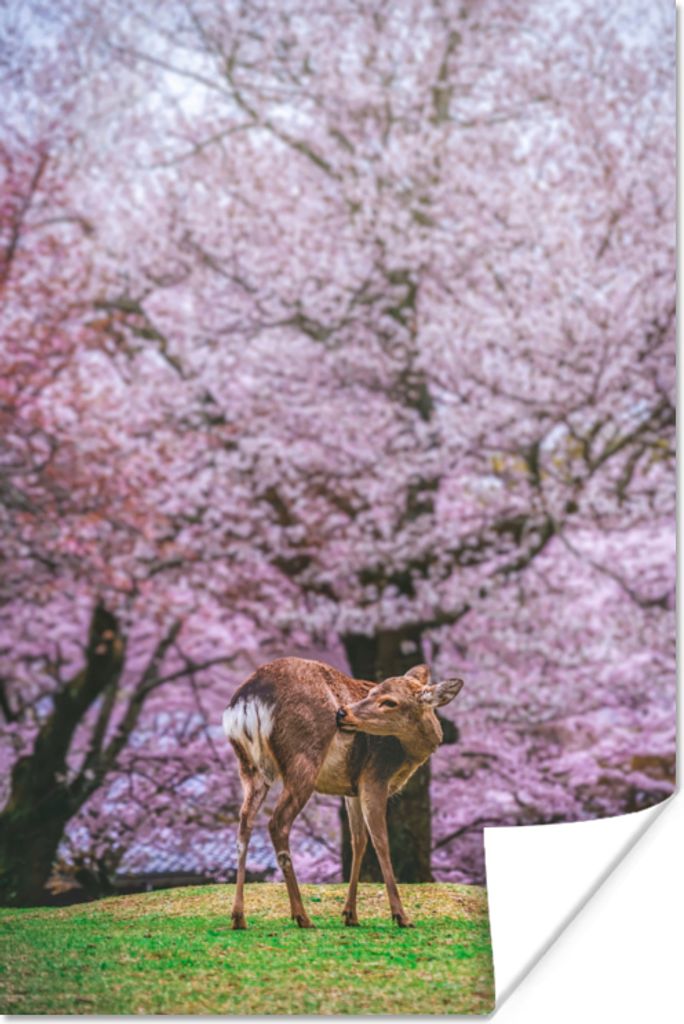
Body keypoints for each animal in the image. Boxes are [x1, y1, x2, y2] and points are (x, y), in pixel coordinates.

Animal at [222, 656, 463, 930]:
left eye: (389, 701)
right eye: (372, 693)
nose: (343, 712)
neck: (408, 755)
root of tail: (248, 699)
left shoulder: (352, 789)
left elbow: (358, 841)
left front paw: (350, 914)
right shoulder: (374, 775)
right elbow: (381, 841)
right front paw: (401, 916)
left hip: (250, 767)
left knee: (244, 824)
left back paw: (238, 917)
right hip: (303, 759)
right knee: (277, 822)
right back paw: (302, 916)